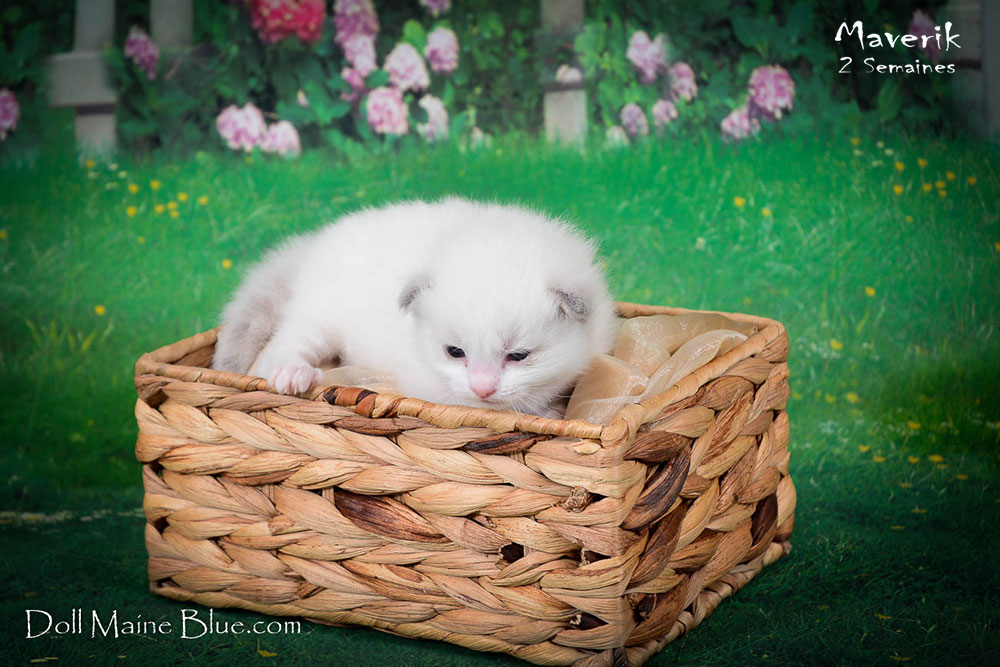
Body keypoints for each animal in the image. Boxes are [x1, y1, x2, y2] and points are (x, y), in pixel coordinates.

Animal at [211, 197, 620, 417]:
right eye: (455, 352)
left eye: (518, 356)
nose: (482, 388)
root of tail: (312, 244)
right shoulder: (430, 386)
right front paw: (544, 411)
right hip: (319, 314)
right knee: (279, 347)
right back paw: (292, 372)